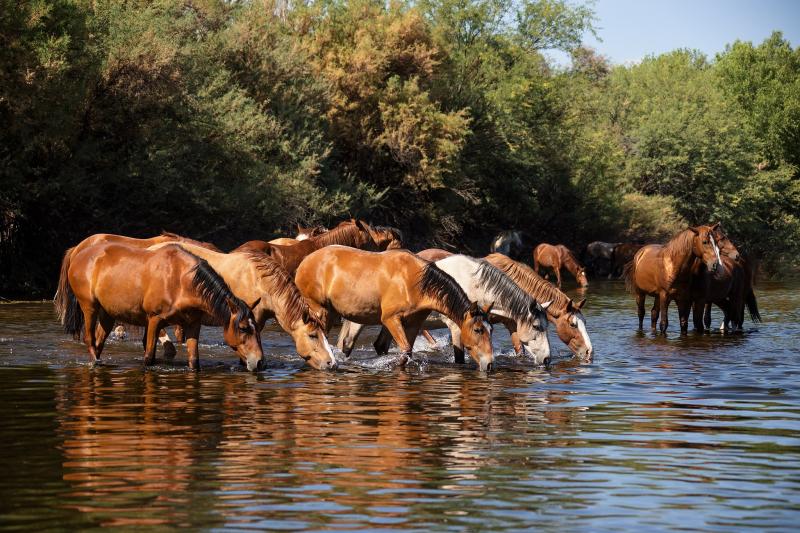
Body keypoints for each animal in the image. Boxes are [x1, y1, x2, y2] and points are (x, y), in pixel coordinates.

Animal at [60, 243, 264, 370]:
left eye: (257, 328)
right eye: (243, 328)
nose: (260, 362)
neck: (181, 280)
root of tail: (78, 253)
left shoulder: (193, 324)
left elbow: (194, 360)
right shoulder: (154, 320)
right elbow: (149, 357)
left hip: (107, 314)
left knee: (99, 342)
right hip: (89, 307)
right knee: (89, 339)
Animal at [295, 246, 495, 371]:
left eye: (491, 330)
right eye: (478, 330)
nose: (489, 364)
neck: (415, 282)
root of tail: (304, 262)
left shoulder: (413, 323)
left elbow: (407, 351)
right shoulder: (390, 319)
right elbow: (404, 351)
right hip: (320, 311)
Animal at [339, 254, 552, 366]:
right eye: (536, 326)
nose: (547, 359)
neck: (473, 284)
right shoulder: (457, 329)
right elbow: (459, 359)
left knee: (381, 346)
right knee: (348, 344)